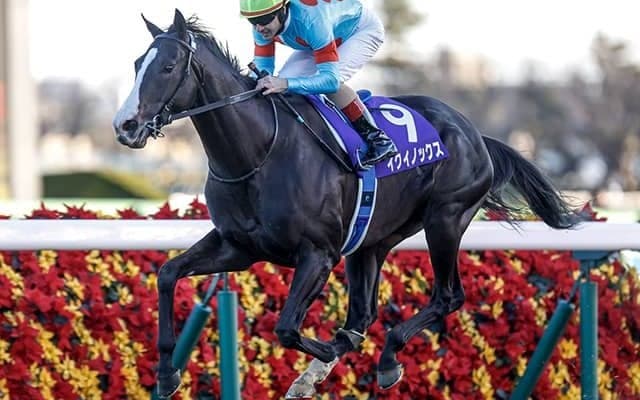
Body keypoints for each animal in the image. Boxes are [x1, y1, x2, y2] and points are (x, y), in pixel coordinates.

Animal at [113, 9, 583, 399]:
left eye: (168, 67)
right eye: (136, 65)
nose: (125, 126)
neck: (258, 153)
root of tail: (474, 133)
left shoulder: (318, 254)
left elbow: (287, 328)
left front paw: (321, 359)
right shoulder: (239, 247)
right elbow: (168, 274)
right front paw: (166, 373)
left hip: (446, 218)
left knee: (448, 296)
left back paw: (387, 359)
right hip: (372, 241)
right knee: (363, 313)